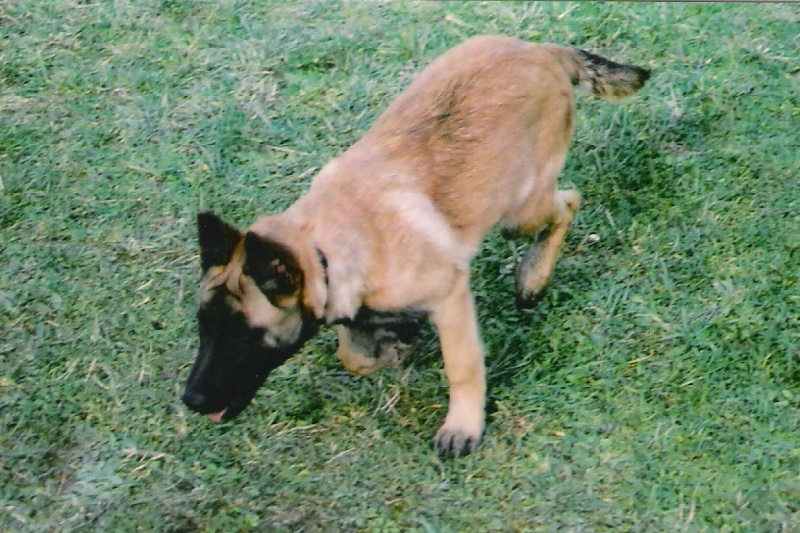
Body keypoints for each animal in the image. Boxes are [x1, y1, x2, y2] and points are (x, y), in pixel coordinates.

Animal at [183, 35, 648, 456]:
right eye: (204, 327)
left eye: (244, 335)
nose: (190, 401)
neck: (324, 245)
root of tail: (540, 50)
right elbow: (354, 355)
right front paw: (395, 341)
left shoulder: (450, 296)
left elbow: (462, 366)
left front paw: (463, 424)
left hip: (519, 211)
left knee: (568, 203)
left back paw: (533, 278)